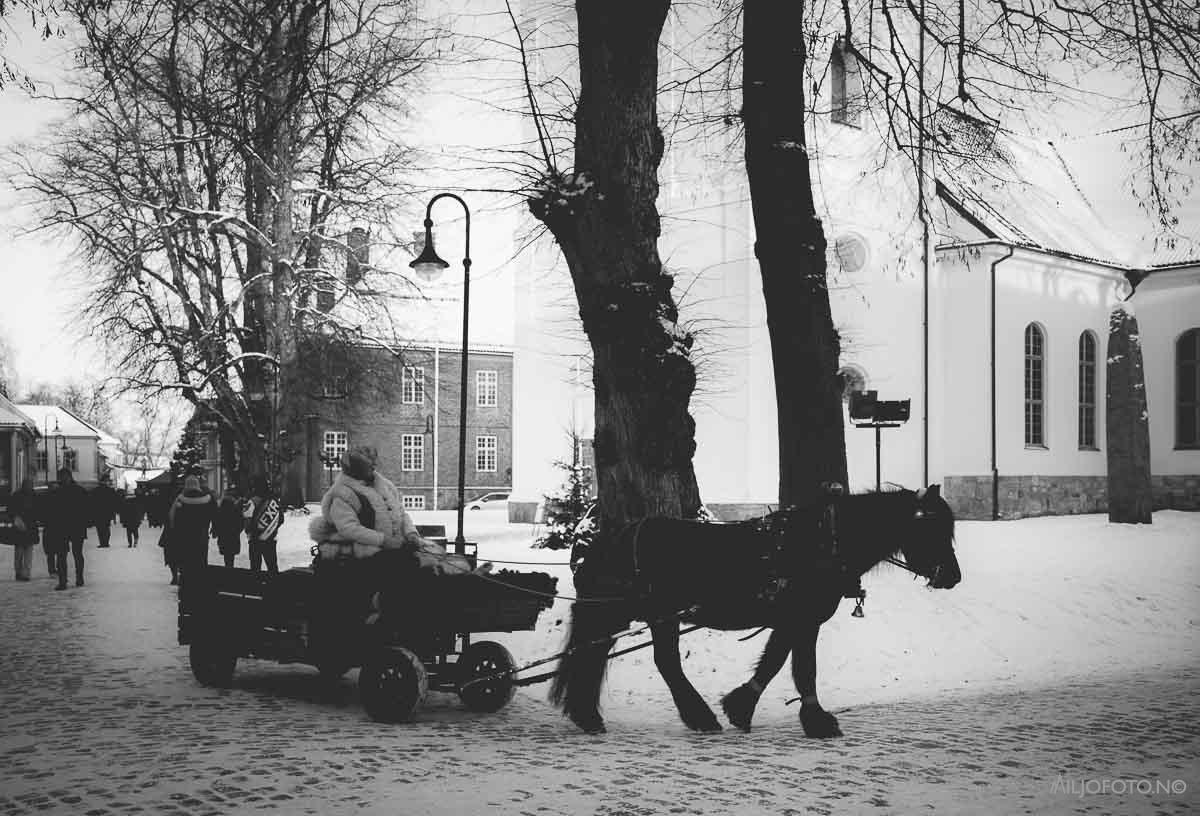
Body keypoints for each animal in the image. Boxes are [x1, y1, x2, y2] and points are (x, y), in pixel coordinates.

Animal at [549, 482, 960, 734]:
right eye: (933, 529)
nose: (953, 577)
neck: (822, 543)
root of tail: (610, 538)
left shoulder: (798, 621)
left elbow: (786, 663)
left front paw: (753, 708)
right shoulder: (800, 618)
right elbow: (793, 667)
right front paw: (804, 719)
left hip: (620, 615)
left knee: (592, 654)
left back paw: (588, 716)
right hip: (655, 615)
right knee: (662, 662)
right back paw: (699, 717)